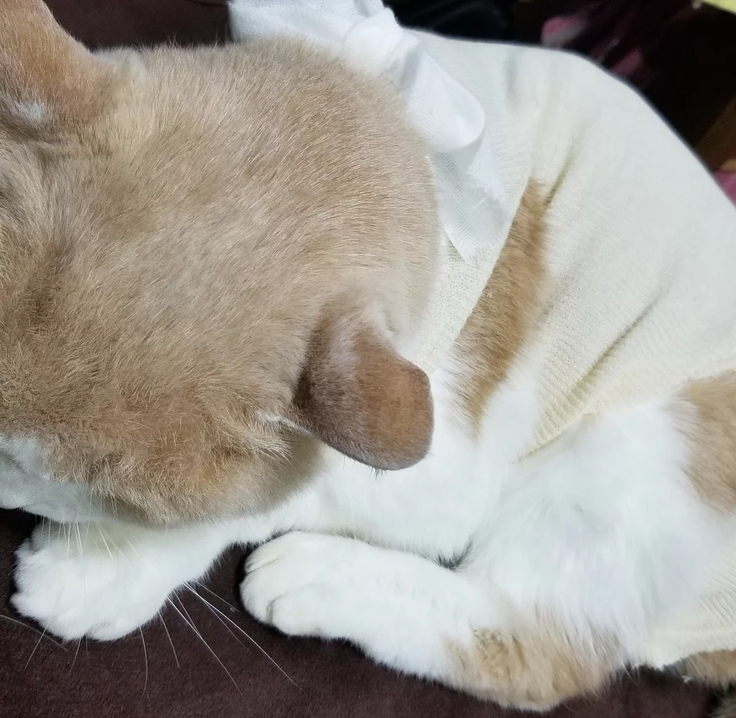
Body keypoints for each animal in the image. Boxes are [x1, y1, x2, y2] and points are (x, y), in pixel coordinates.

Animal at [2, 0, 736, 711]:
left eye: (86, 492)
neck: (402, 121)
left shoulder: (446, 473)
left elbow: (271, 497)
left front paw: (102, 566)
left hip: (636, 454)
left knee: (537, 646)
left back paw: (315, 577)